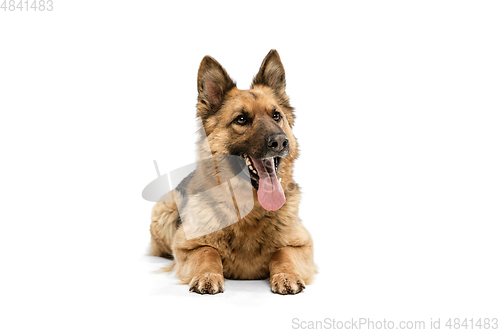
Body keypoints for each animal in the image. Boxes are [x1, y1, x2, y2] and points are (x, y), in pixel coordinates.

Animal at [148, 49, 316, 294]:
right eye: (241, 119)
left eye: (277, 116)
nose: (280, 141)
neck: (250, 211)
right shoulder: (186, 246)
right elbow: (208, 251)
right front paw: (207, 274)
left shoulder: (303, 244)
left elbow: (282, 252)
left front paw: (286, 275)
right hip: (165, 210)